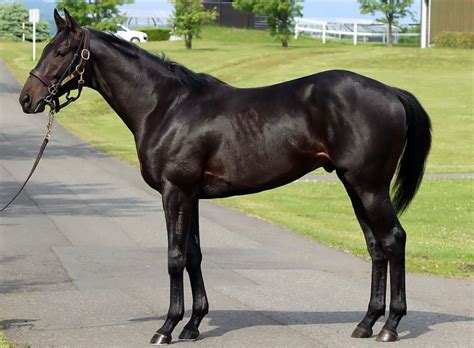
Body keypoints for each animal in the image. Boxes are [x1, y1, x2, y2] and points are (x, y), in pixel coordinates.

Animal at [20, 9, 432, 344]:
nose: (27, 99)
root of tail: (391, 92)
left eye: (60, 52)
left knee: (394, 240)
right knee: (376, 247)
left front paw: (167, 327)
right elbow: (194, 255)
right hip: (354, 186)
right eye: (46, 48)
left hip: (369, 186)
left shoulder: (175, 192)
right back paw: (366, 323)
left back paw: (391, 326)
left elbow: (174, 257)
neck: (166, 106)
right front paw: (193, 324)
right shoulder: (191, 196)